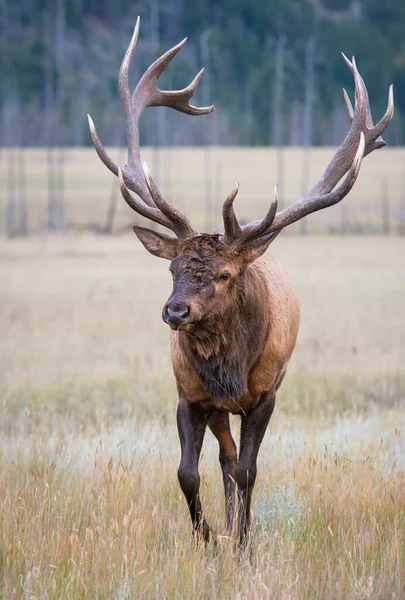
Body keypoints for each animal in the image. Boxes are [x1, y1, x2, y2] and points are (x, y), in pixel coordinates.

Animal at [87, 18, 392, 548]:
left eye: (225, 274)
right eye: (172, 268)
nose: (176, 312)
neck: (227, 370)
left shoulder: (265, 394)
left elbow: (250, 471)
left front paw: (244, 544)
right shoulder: (189, 395)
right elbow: (189, 473)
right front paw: (210, 539)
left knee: (239, 465)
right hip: (217, 410)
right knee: (225, 459)